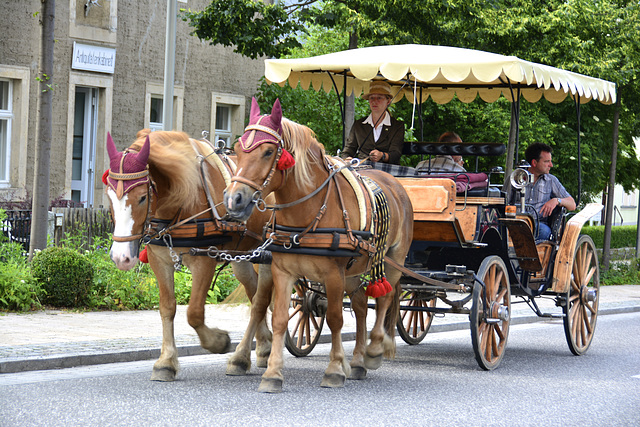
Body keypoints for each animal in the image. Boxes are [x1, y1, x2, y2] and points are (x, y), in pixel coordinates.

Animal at [104, 130, 272, 382]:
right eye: (110, 197)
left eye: (142, 197)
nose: (120, 257)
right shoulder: (159, 261)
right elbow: (167, 308)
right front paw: (166, 362)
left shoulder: (204, 261)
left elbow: (193, 313)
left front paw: (218, 341)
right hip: (242, 259)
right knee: (255, 298)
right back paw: (262, 347)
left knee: (262, 300)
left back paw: (241, 357)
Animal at [225, 98, 416, 392]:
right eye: (236, 150)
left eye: (268, 152)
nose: (234, 199)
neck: (308, 212)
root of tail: (396, 184)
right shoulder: (283, 271)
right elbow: (278, 317)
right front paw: (273, 373)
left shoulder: (332, 273)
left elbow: (335, 318)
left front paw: (335, 368)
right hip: (352, 269)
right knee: (361, 305)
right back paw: (357, 361)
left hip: (393, 259)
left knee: (384, 297)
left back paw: (373, 351)